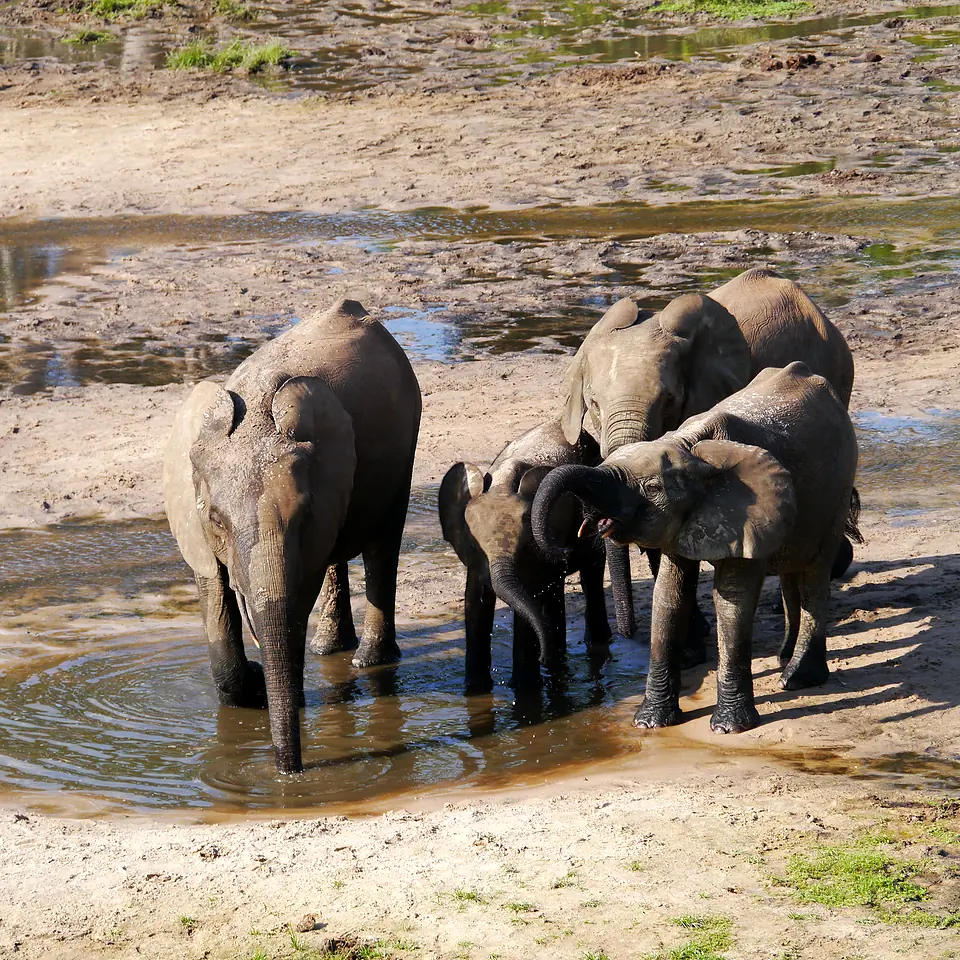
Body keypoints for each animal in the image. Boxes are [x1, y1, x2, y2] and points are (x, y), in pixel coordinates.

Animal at [163, 298, 421, 774]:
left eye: (301, 518)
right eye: (217, 521)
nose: (290, 773)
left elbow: (296, 596)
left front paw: (275, 692)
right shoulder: (193, 524)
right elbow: (213, 589)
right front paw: (249, 683)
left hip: (406, 438)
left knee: (383, 542)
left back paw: (368, 660)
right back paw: (327, 650)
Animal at [439, 421, 619, 693]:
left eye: (525, 546)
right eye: (472, 546)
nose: (543, 656)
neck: (502, 485)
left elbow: (528, 600)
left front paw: (524, 689)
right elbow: (475, 602)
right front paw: (476, 690)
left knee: (591, 574)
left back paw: (589, 648)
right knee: (555, 589)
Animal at [533, 362, 860, 734]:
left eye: (653, 487)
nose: (562, 549)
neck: (690, 447)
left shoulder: (748, 512)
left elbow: (731, 600)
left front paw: (729, 729)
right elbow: (669, 595)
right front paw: (650, 724)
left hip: (838, 487)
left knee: (814, 576)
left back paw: (797, 679)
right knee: (794, 574)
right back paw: (784, 660)